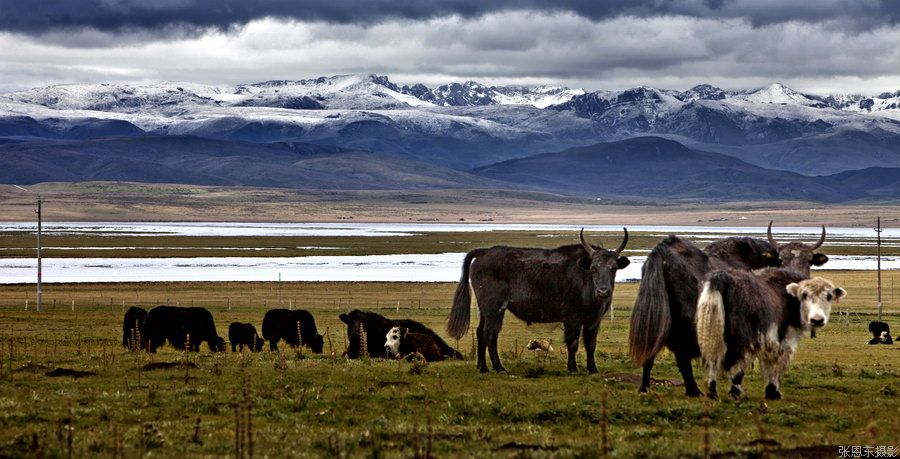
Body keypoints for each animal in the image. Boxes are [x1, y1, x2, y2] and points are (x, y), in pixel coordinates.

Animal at [696, 272, 844, 400]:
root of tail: (721, 277)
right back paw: (735, 392)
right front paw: (773, 392)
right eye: (804, 295)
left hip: (713, 330)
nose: (817, 320)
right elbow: (775, 363)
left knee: (714, 359)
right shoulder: (783, 339)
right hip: (740, 336)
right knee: (736, 362)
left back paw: (713, 392)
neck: (789, 299)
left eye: (829, 296)